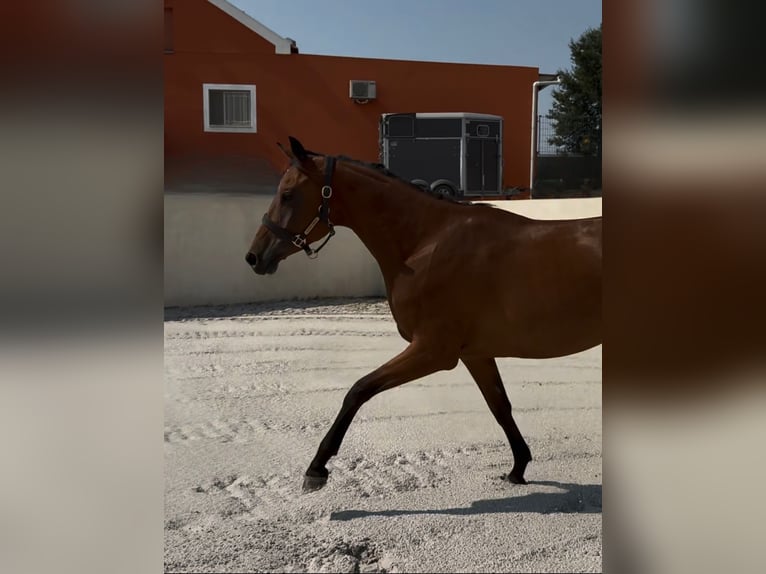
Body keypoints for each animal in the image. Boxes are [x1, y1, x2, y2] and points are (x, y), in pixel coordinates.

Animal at [246, 136, 601, 492]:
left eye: (288, 194)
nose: (254, 257)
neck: (427, 243)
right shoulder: (475, 354)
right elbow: (500, 406)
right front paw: (518, 468)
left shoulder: (433, 351)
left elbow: (358, 390)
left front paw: (317, 468)